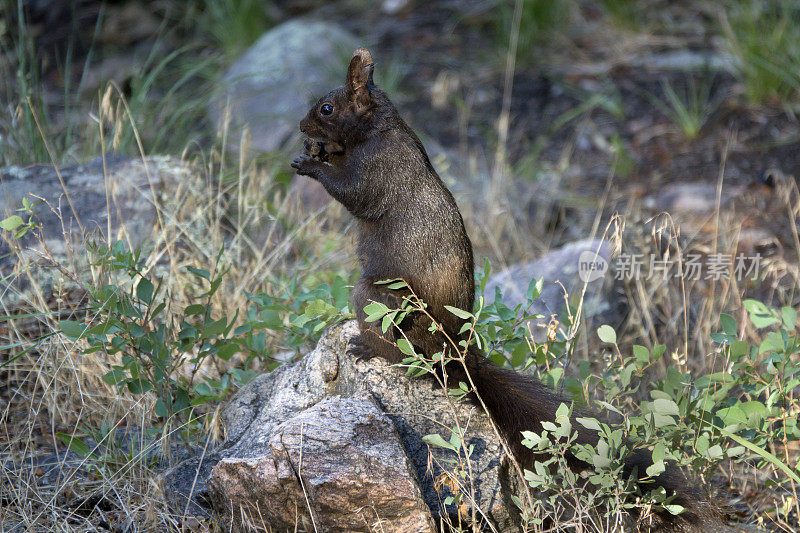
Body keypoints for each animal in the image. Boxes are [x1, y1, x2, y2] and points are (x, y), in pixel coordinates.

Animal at [292, 47, 724, 528]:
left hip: (376, 301)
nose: (302, 127)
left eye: (327, 109)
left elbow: (352, 191)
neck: (378, 127)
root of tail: (454, 354)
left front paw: (311, 162)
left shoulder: (377, 168)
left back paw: (368, 348)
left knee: (403, 356)